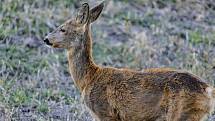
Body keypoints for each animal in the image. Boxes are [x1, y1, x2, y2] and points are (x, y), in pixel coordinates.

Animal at [43, 1, 215, 121]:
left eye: (63, 29)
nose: (46, 39)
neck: (89, 78)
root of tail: (208, 90)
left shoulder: (105, 112)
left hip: (181, 113)